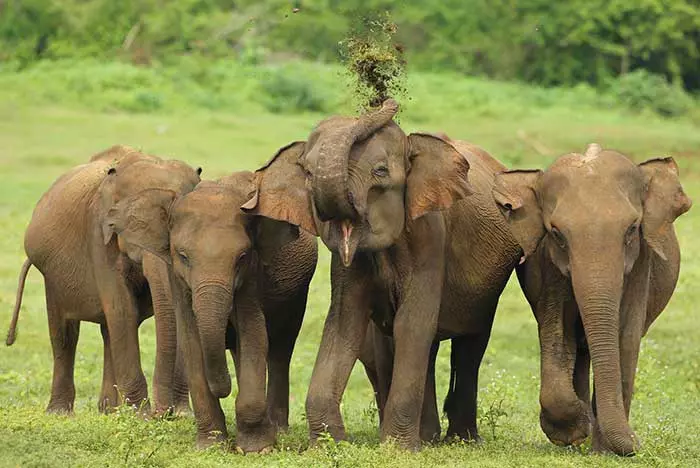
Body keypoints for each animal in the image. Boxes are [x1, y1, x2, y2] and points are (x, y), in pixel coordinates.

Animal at [6, 144, 200, 414]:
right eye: (132, 224)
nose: (164, 413)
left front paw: (181, 416)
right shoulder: (98, 234)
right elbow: (121, 308)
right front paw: (142, 416)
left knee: (108, 331)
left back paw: (109, 411)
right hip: (51, 275)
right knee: (65, 334)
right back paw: (61, 413)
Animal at [104, 169, 318, 454]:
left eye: (242, 257)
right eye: (183, 256)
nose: (224, 389)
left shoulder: (252, 276)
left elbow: (254, 335)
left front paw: (256, 449)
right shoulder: (178, 280)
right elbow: (192, 342)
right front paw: (211, 446)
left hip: (297, 294)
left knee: (280, 350)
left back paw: (277, 430)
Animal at [243, 99, 524, 450]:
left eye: (380, 172)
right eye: (307, 173)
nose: (385, 101)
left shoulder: (430, 236)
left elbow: (412, 323)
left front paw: (398, 449)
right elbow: (344, 323)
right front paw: (330, 445)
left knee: (469, 345)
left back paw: (461, 440)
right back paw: (429, 437)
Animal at [492, 144, 696, 458]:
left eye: (632, 228)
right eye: (556, 234)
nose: (638, 442)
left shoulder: (641, 265)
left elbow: (626, 338)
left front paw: (605, 450)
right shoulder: (548, 265)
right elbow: (556, 332)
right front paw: (574, 430)